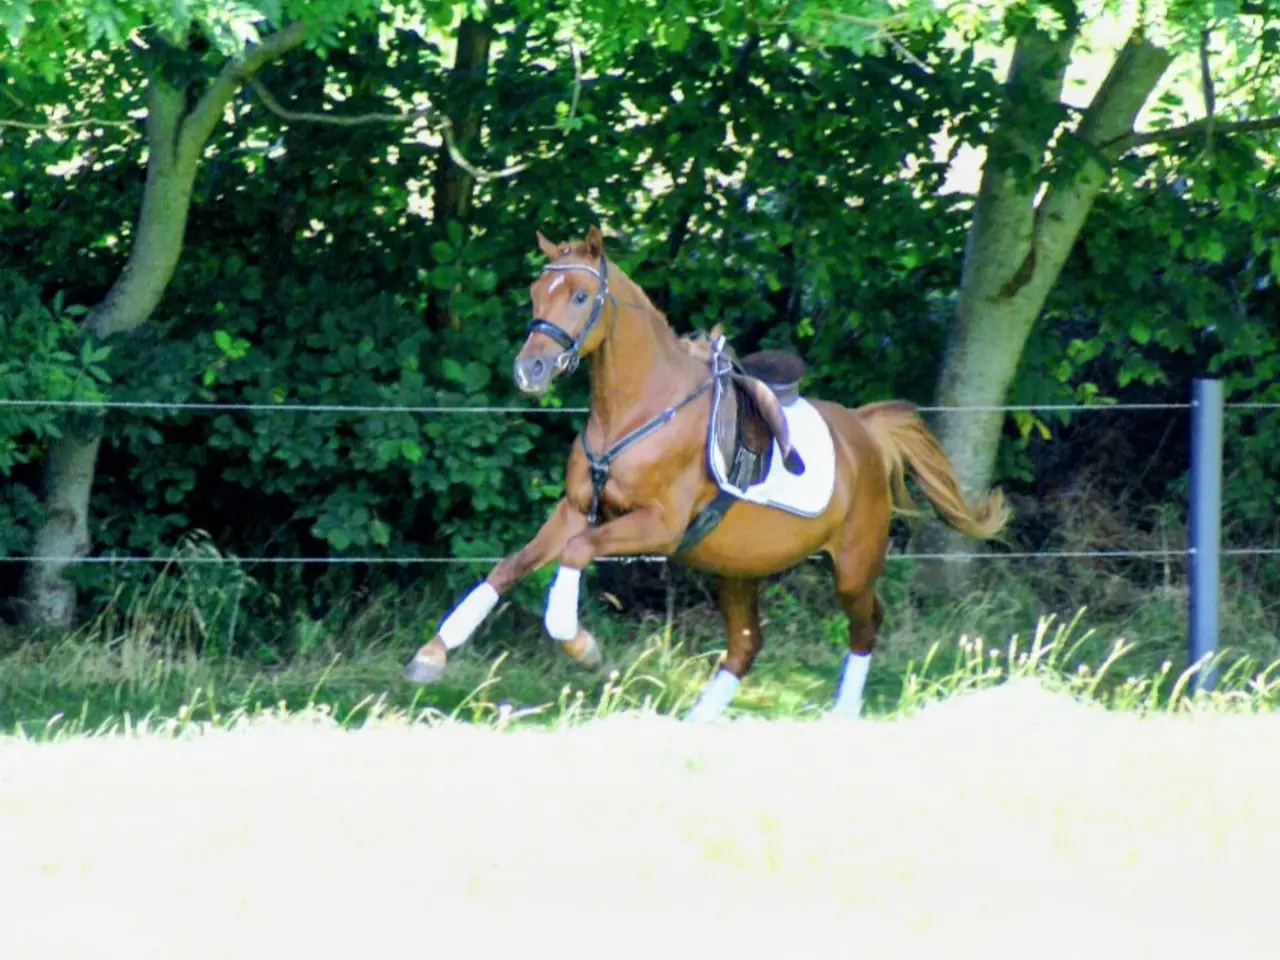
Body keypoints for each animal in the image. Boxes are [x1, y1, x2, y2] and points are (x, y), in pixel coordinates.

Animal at [403, 226, 1009, 721]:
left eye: (579, 295)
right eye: (535, 293)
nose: (529, 370)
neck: (636, 412)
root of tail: (864, 430)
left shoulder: (657, 526)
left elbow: (575, 554)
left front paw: (581, 645)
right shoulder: (576, 510)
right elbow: (510, 566)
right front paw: (432, 654)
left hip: (853, 566)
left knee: (865, 625)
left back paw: (841, 713)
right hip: (739, 570)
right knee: (746, 643)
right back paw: (696, 721)